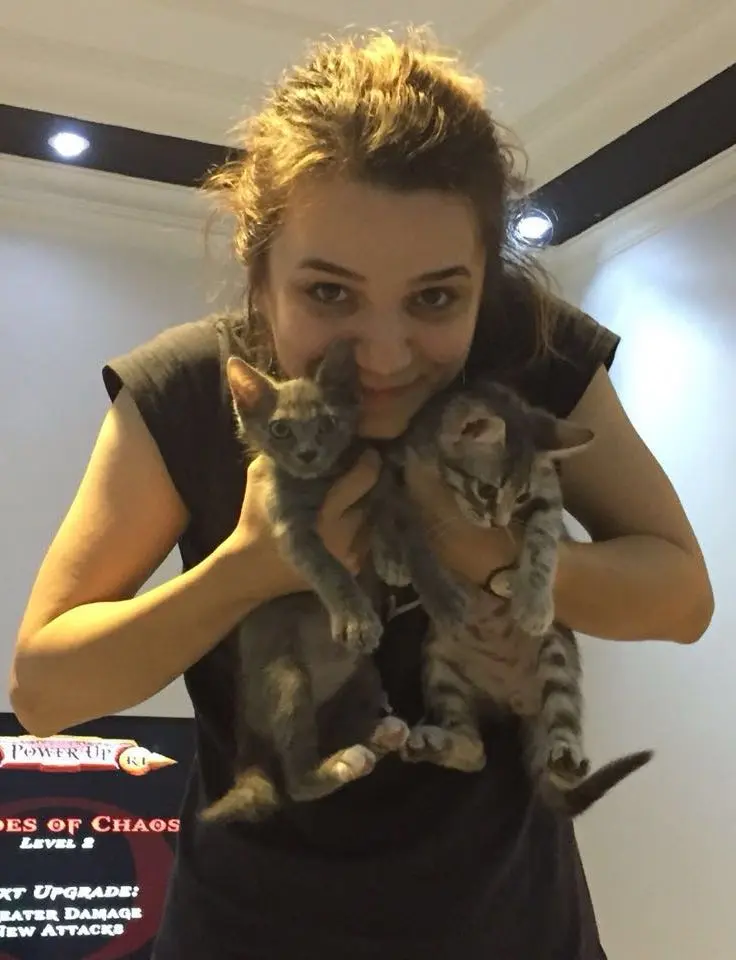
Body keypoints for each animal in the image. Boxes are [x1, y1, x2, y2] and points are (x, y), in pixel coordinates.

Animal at [201, 340, 409, 823]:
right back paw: (339, 765)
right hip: (288, 680)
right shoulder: (289, 528)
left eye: (328, 423)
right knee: (295, 783)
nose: (308, 454)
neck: (322, 483)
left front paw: (392, 555)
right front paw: (357, 619)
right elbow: (329, 567)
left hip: (364, 676)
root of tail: (245, 736)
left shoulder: (369, 471)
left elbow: (386, 501)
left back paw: (377, 736)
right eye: (280, 429)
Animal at [391, 378, 653, 817]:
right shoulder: (402, 469)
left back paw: (564, 758)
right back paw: (437, 744)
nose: (497, 523)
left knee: (557, 736)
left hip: (557, 655)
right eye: (486, 490)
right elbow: (400, 521)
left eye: (520, 496)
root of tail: (511, 700)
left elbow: (544, 541)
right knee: (475, 751)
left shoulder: (547, 495)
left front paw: (530, 599)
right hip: (440, 666)